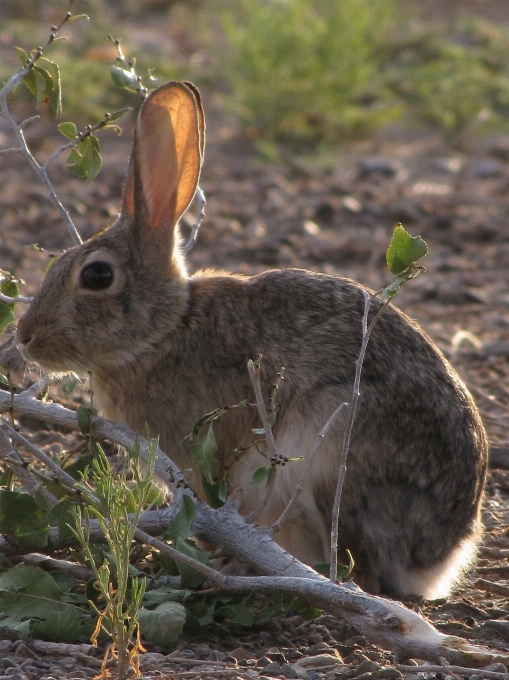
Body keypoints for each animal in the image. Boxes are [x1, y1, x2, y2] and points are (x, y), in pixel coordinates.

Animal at [16, 82, 488, 596]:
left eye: (97, 276)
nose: (23, 338)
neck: (166, 329)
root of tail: (439, 556)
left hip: (329, 453)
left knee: (356, 569)